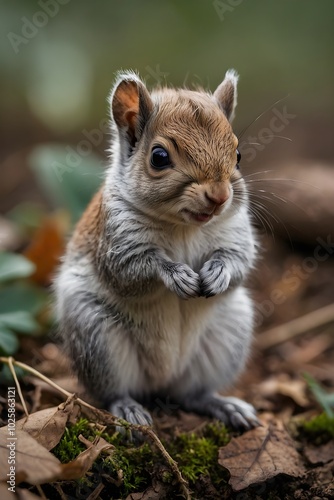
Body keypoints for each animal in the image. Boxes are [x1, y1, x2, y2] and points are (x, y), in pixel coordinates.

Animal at [54, 69, 258, 430]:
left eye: (238, 155)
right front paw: (176, 275)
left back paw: (225, 405)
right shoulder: (116, 242)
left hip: (228, 333)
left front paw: (218, 273)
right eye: (159, 157)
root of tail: (162, 380)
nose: (220, 196)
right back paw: (129, 411)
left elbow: (239, 260)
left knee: (193, 395)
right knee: (114, 390)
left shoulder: (236, 232)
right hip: (96, 335)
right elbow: (132, 272)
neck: (185, 226)